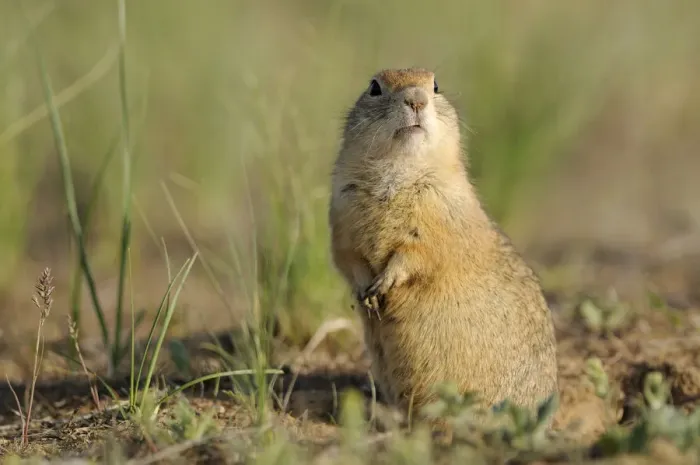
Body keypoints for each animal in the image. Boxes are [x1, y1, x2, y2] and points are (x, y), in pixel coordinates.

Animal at [328, 67, 558, 419]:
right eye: (374, 88)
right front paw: (366, 293)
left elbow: (418, 253)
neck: (399, 170)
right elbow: (348, 257)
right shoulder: (341, 214)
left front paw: (385, 283)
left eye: (435, 86)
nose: (416, 100)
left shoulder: (438, 212)